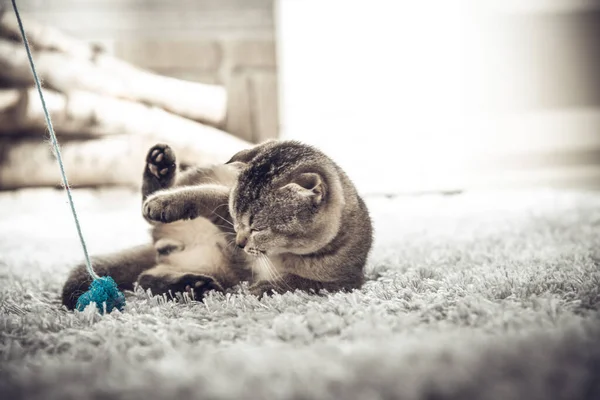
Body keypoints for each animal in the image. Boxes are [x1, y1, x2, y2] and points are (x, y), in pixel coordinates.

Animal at [61, 138, 370, 310]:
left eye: (258, 228)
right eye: (236, 218)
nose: (240, 242)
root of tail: (158, 243)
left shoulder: (345, 281)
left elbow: (300, 283)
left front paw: (264, 287)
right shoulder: (222, 205)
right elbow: (205, 194)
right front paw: (166, 203)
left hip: (215, 266)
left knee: (145, 278)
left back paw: (192, 286)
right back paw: (158, 176)